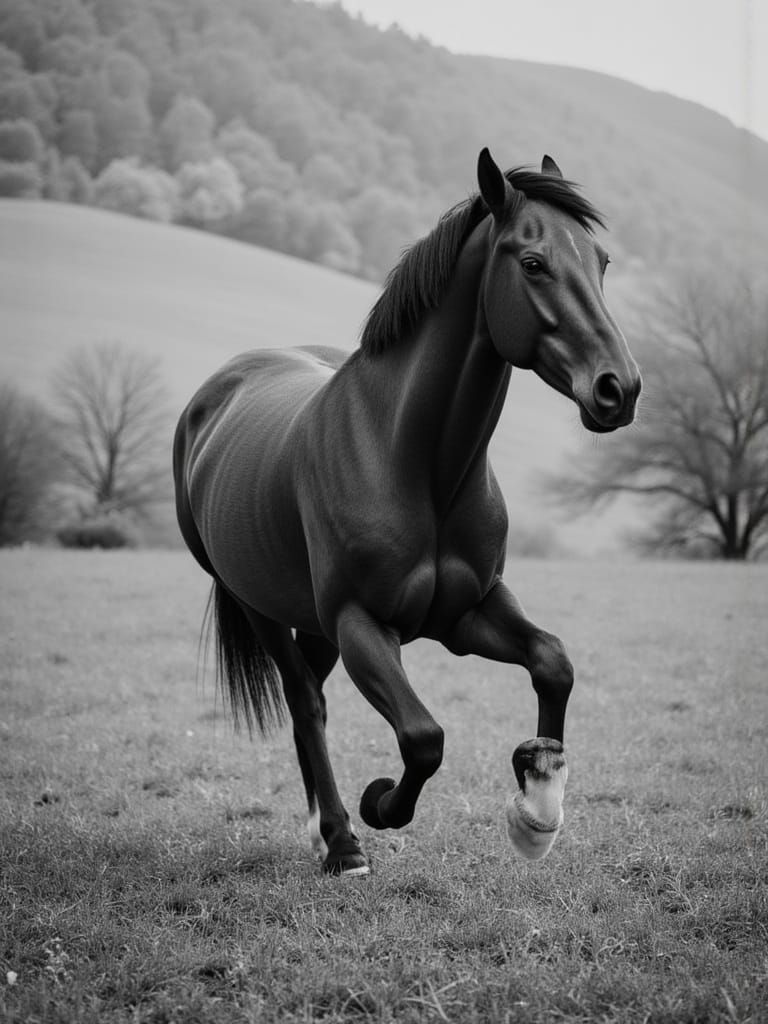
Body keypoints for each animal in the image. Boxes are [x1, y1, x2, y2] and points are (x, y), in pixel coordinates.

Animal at [173, 148, 641, 876]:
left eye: (602, 262)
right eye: (533, 263)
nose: (619, 389)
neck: (414, 461)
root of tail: (217, 391)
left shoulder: (468, 613)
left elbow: (553, 663)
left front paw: (536, 811)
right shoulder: (362, 623)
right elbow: (424, 737)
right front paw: (378, 805)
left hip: (315, 623)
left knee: (311, 699)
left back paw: (321, 830)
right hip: (262, 606)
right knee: (305, 701)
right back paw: (341, 841)